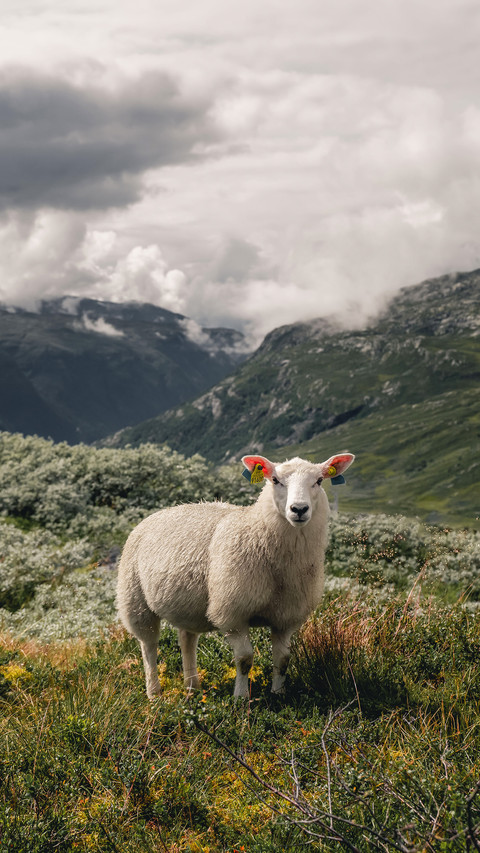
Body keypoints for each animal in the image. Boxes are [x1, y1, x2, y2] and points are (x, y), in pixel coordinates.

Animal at [116, 451, 354, 699]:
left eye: (319, 480)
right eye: (275, 480)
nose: (299, 509)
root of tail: (159, 513)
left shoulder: (286, 618)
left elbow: (283, 659)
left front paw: (278, 693)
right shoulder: (233, 613)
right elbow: (244, 659)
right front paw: (240, 697)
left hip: (188, 606)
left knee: (187, 640)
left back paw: (192, 688)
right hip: (135, 601)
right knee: (148, 646)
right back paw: (154, 693)